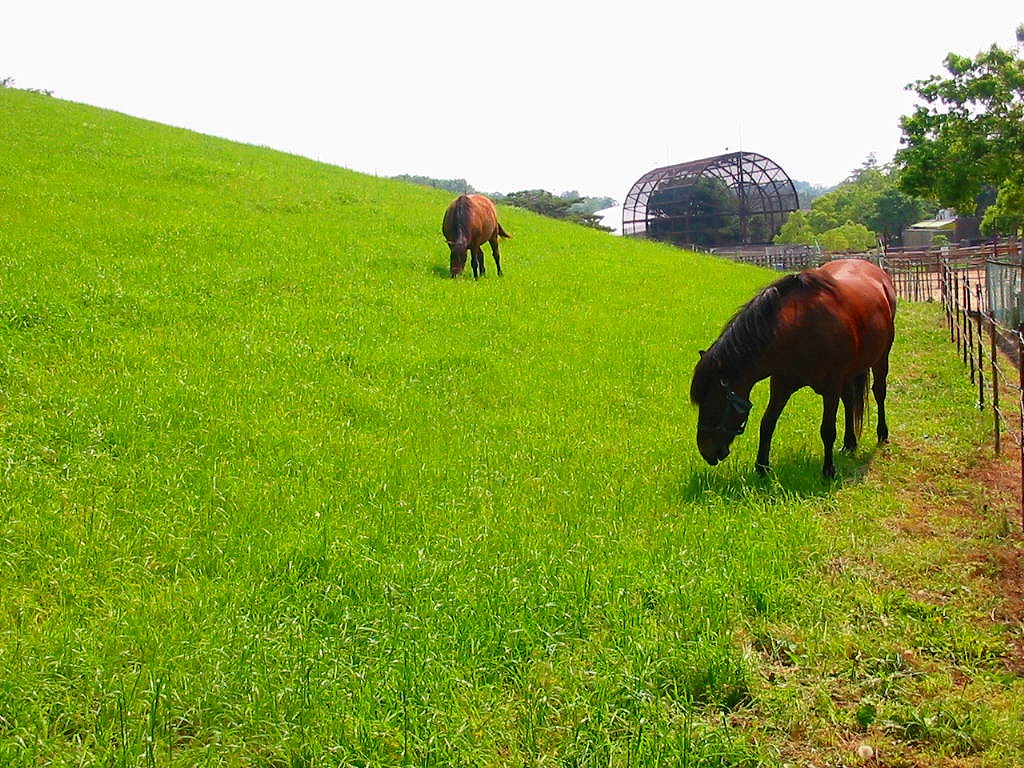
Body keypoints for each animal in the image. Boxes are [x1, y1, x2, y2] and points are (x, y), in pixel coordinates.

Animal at [688, 262, 897, 479]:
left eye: (712, 404)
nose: (705, 451)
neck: (800, 329)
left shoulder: (831, 387)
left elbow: (827, 430)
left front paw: (828, 470)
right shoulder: (781, 385)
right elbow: (767, 423)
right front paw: (762, 467)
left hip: (881, 358)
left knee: (879, 392)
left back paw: (882, 433)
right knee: (849, 400)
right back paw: (849, 443)